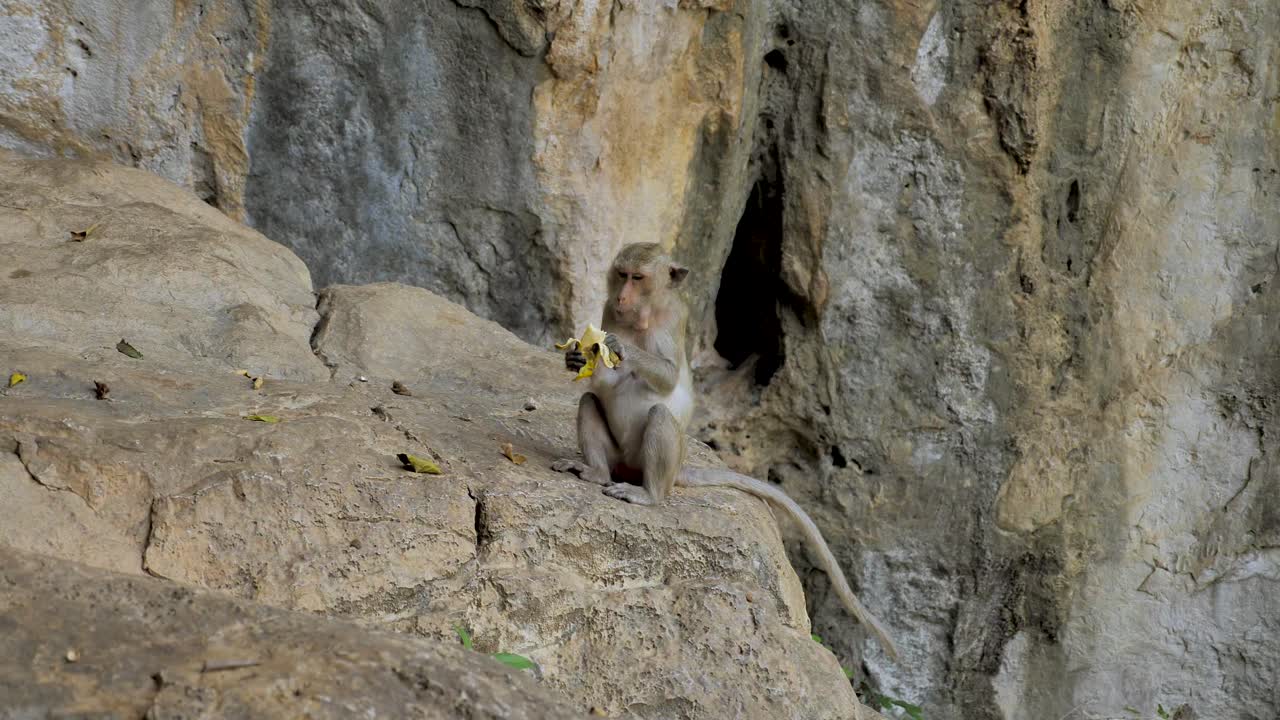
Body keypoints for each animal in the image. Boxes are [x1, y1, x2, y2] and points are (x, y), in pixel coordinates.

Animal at [551, 242, 899, 660]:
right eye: (621, 275)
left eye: (638, 278)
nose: (622, 298)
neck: (645, 314)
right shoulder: (607, 312)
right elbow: (599, 386)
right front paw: (578, 356)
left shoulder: (672, 319)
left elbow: (665, 377)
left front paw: (621, 348)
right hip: (621, 457)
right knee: (589, 403)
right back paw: (596, 472)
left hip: (655, 463)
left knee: (660, 417)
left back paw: (648, 495)